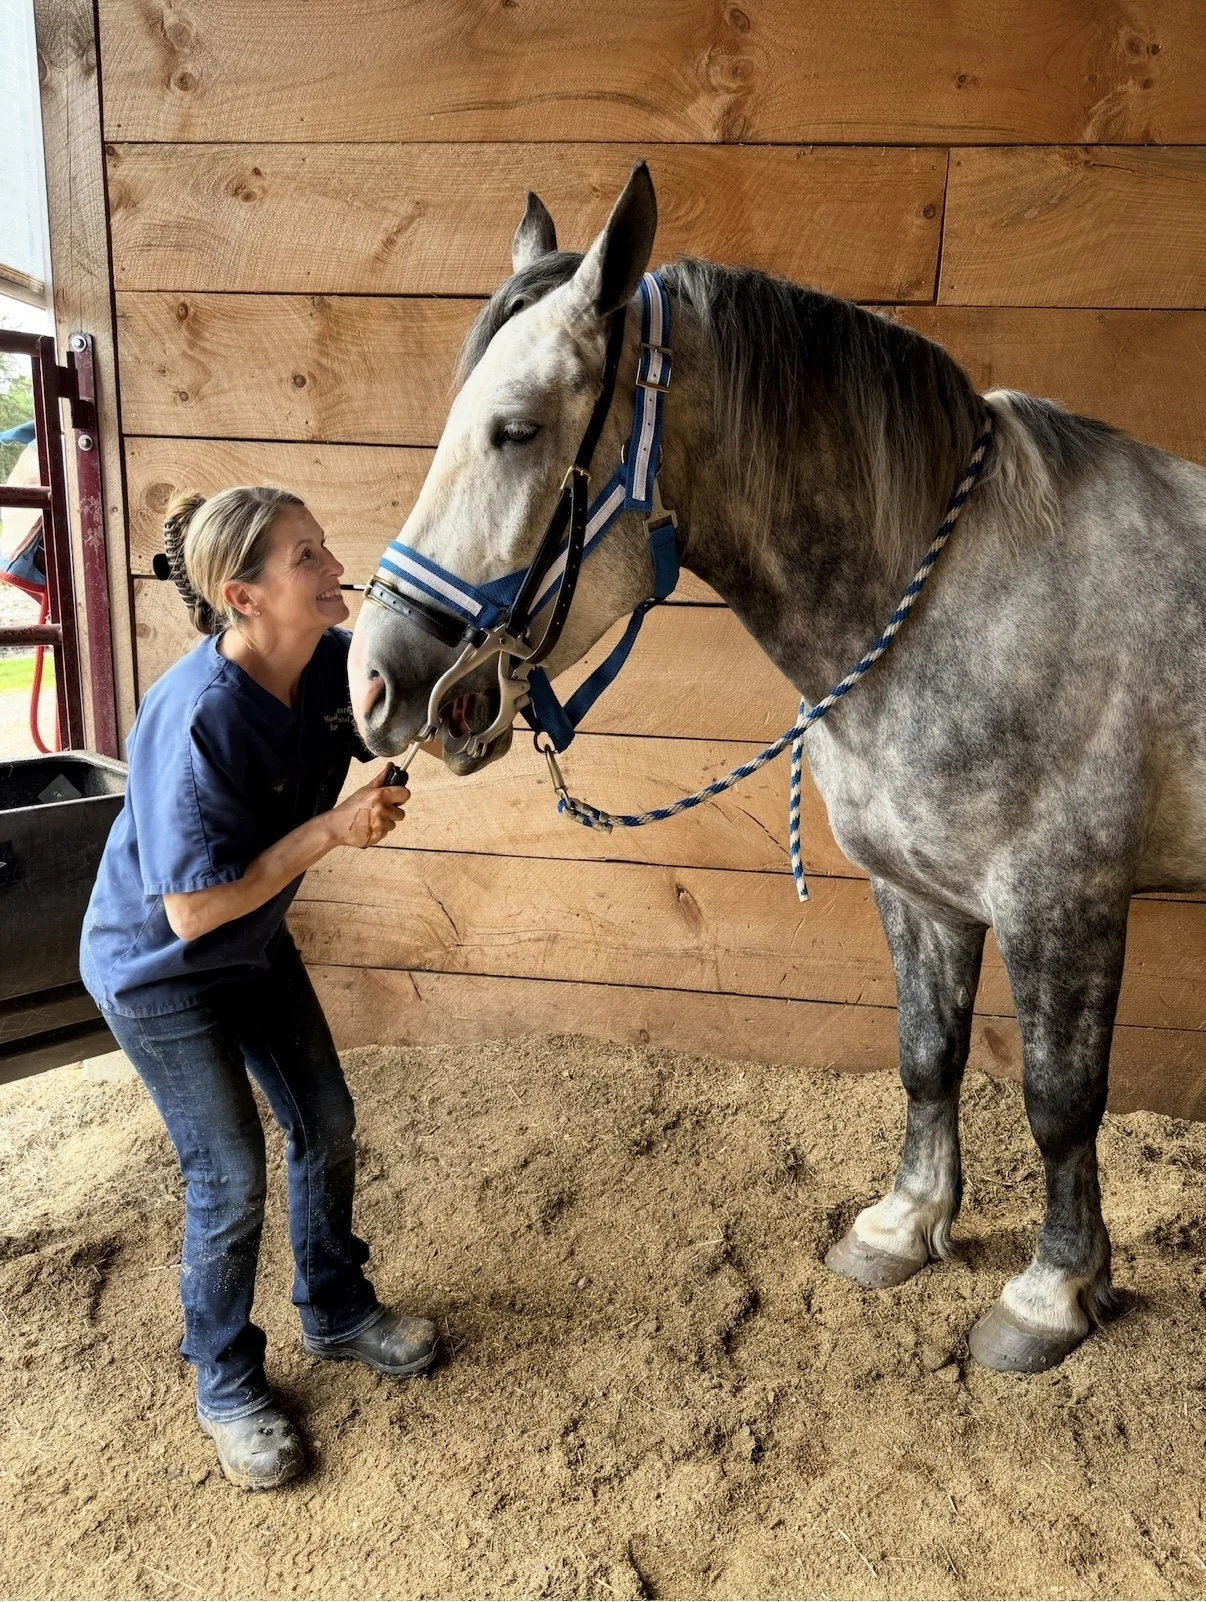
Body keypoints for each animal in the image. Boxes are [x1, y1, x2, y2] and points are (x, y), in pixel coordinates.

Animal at [348, 162, 1206, 1374]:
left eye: (515, 430)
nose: (376, 683)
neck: (961, 597)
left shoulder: (1065, 903)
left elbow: (1059, 1101)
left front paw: (1053, 1295)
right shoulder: (920, 895)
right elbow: (929, 1057)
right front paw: (903, 1227)